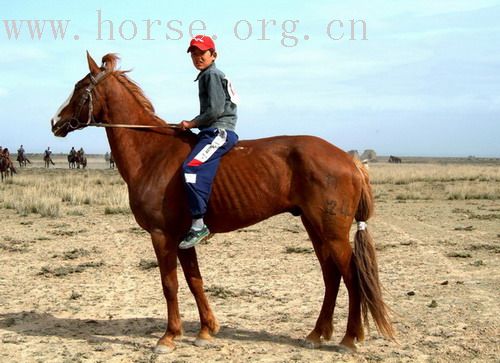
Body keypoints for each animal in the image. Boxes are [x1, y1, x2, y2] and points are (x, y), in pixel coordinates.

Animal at [50, 52, 394, 354]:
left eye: (79, 87)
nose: (54, 121)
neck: (152, 152)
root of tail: (350, 160)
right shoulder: (181, 239)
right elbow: (194, 281)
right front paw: (206, 330)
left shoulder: (162, 236)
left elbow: (170, 285)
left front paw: (169, 337)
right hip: (315, 228)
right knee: (331, 276)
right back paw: (317, 334)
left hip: (332, 232)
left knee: (351, 277)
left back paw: (349, 338)